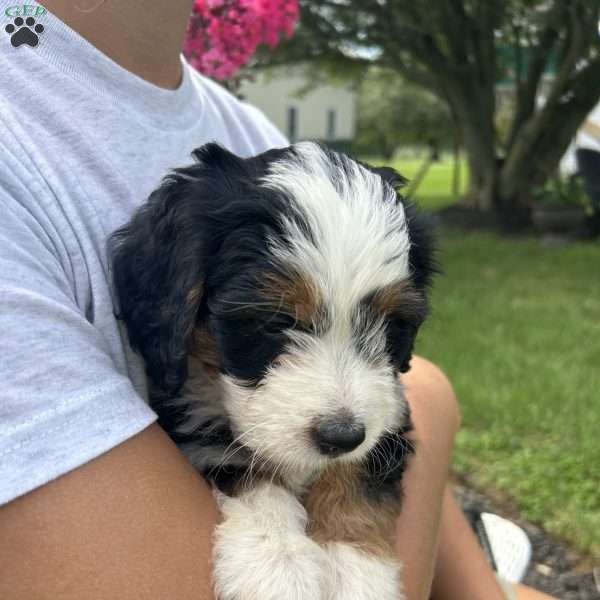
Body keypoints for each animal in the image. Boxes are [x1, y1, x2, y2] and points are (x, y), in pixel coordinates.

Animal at [109, 142, 436, 600]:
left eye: (390, 325)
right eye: (272, 321)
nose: (341, 437)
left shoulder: (387, 417)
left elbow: (357, 476)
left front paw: (354, 571)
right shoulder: (192, 419)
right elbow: (245, 469)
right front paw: (277, 561)